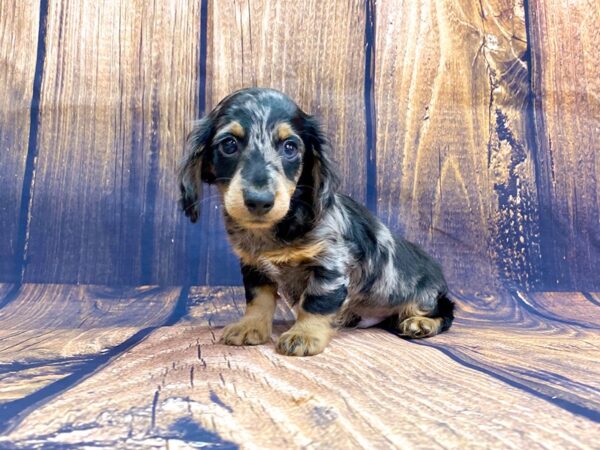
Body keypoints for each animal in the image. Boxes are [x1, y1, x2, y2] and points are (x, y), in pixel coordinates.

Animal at [180, 87, 452, 356]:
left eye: (290, 147)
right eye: (229, 144)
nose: (259, 201)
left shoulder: (331, 262)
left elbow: (316, 302)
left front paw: (304, 334)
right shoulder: (254, 266)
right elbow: (258, 299)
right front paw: (250, 327)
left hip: (424, 297)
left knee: (445, 312)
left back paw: (421, 323)